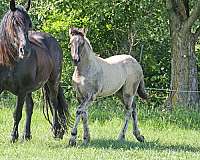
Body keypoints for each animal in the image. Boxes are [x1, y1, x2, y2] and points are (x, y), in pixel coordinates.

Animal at [0, 0, 71, 142]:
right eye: (14, 23)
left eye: (29, 24)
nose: (25, 50)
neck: (9, 61)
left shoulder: (21, 90)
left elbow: (17, 113)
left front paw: (13, 137)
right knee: (30, 107)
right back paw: (26, 135)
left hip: (52, 81)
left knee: (54, 103)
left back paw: (56, 131)